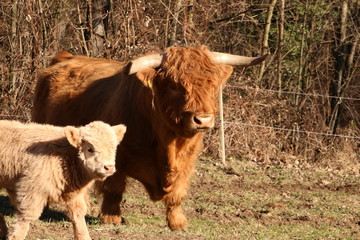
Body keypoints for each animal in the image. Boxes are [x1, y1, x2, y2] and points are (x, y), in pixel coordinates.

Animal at [31, 45, 268, 231]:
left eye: (211, 84)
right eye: (174, 85)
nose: (203, 120)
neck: (168, 143)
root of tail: (65, 57)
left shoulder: (187, 161)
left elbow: (177, 193)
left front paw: (178, 223)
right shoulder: (117, 158)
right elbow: (114, 189)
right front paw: (111, 218)